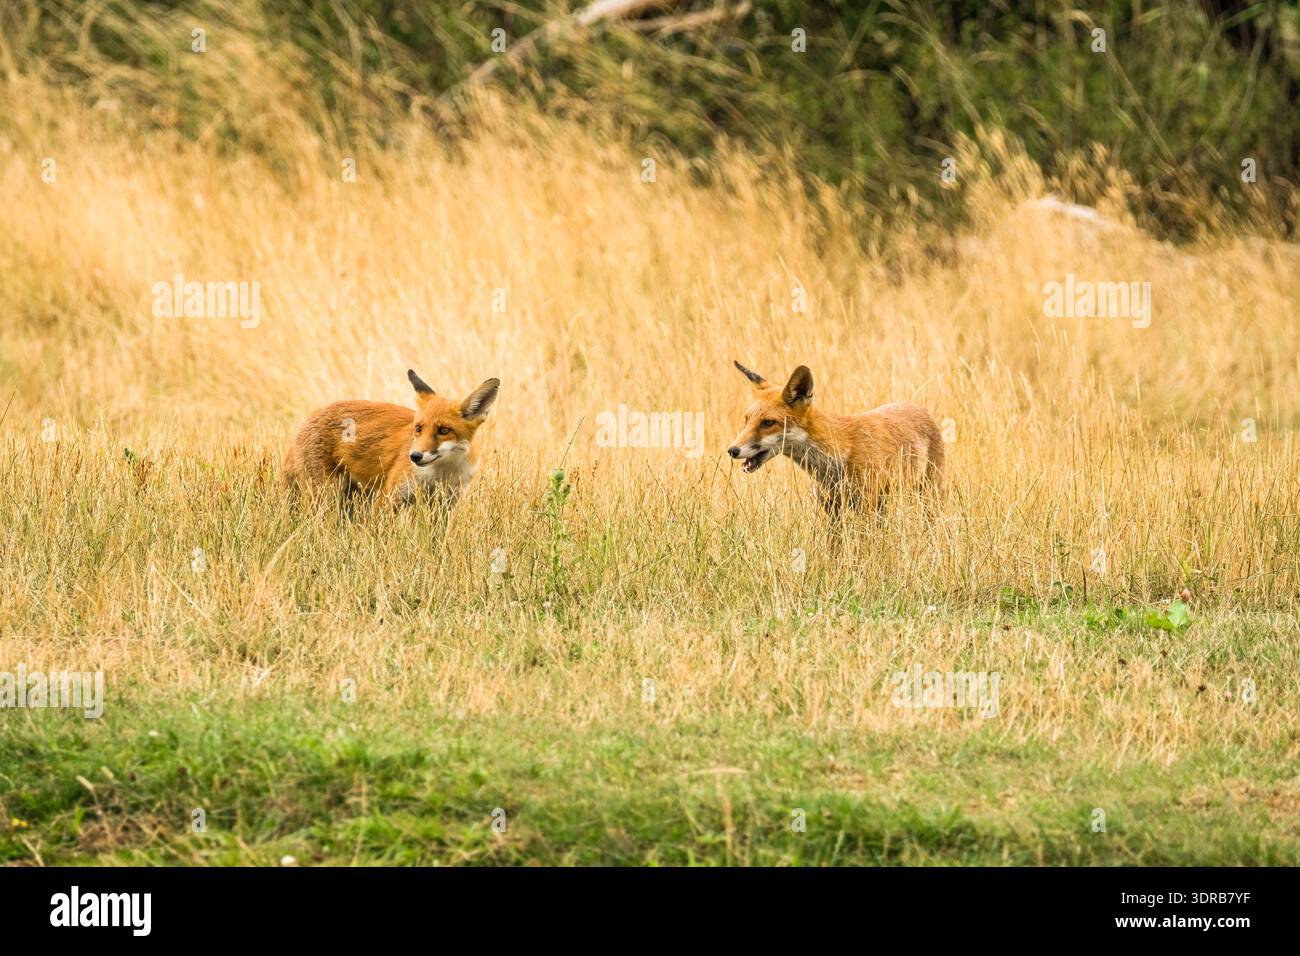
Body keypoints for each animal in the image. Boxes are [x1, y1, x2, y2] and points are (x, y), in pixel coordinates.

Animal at [282, 369, 500, 506]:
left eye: (444, 430)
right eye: (418, 428)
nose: (415, 456)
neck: (441, 474)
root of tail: (305, 421)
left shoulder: (444, 505)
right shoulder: (389, 497)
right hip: (327, 495)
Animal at [727, 361, 943, 515]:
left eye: (768, 423)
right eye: (746, 420)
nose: (732, 450)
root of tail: (918, 407)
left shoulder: (866, 506)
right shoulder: (832, 508)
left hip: (927, 496)